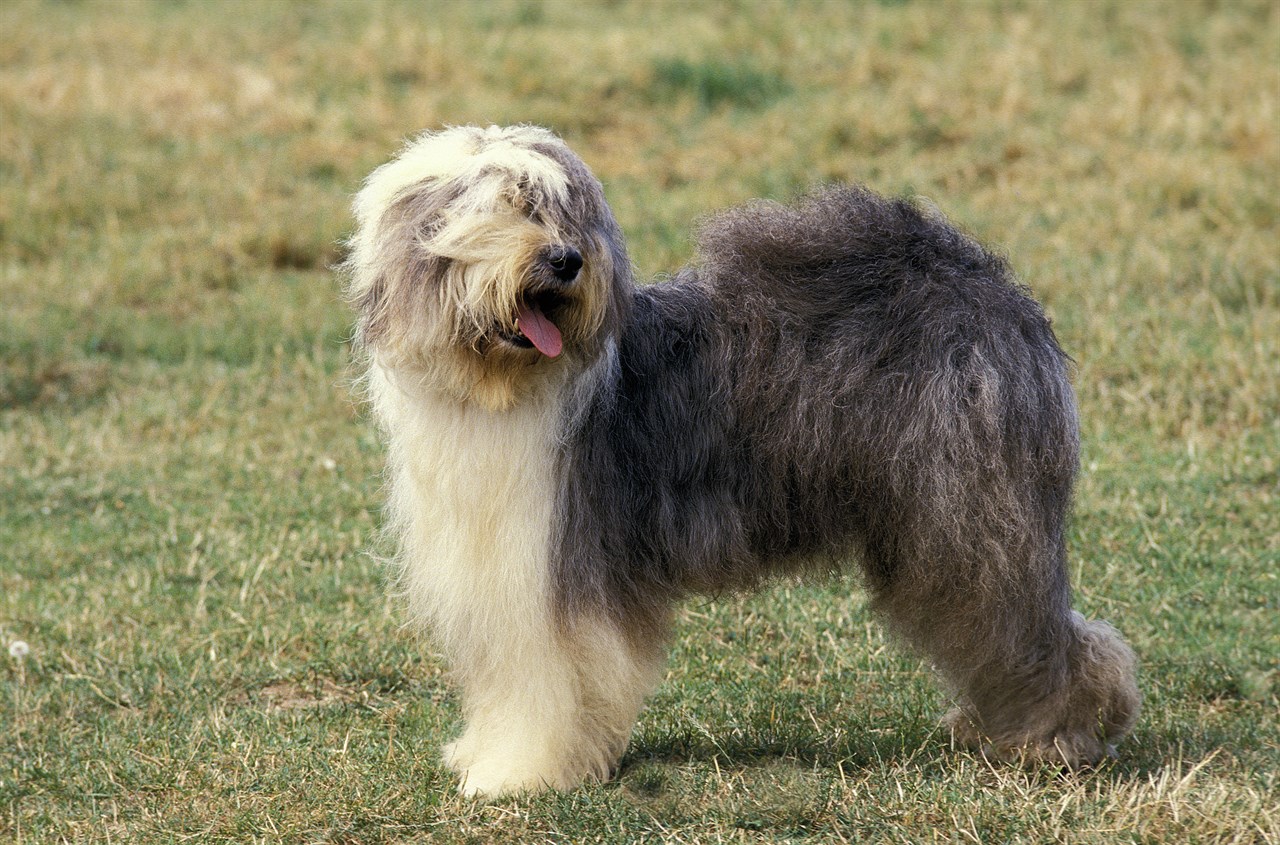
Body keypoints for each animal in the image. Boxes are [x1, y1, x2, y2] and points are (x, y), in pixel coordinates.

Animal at [343, 125, 1141, 798]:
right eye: (506, 209)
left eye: (563, 214)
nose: (567, 261)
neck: (502, 387)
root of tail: (985, 281)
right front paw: (488, 754)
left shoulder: (552, 571)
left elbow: (543, 683)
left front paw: (520, 773)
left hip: (969, 519)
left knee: (1032, 629)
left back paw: (1054, 738)